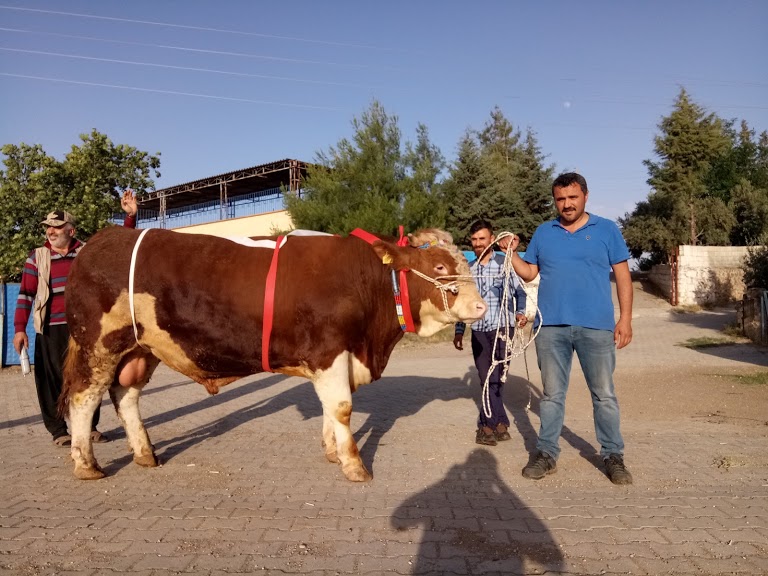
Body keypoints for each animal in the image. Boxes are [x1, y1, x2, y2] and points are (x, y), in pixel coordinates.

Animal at [63, 225, 488, 482]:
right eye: (439, 265)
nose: (481, 307)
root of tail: (100, 239)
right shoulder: (330, 350)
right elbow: (342, 408)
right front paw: (354, 465)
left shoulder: (333, 359)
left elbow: (328, 409)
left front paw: (332, 452)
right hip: (99, 345)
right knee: (84, 398)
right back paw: (86, 465)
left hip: (141, 349)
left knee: (126, 396)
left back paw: (145, 454)